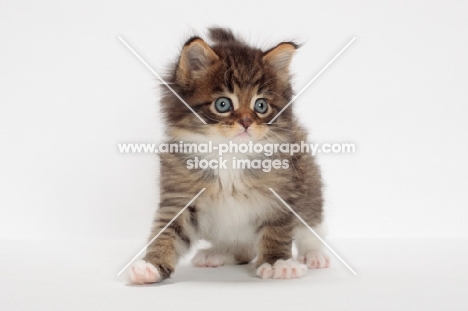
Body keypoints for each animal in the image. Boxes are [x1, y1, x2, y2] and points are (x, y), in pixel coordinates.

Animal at [128, 28, 330, 284]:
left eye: (261, 106)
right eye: (223, 104)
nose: (246, 122)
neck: (229, 155)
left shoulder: (280, 193)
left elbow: (278, 230)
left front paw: (279, 263)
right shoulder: (180, 197)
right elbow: (168, 231)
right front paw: (151, 265)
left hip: (309, 186)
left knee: (309, 225)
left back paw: (314, 255)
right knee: (243, 250)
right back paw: (217, 254)